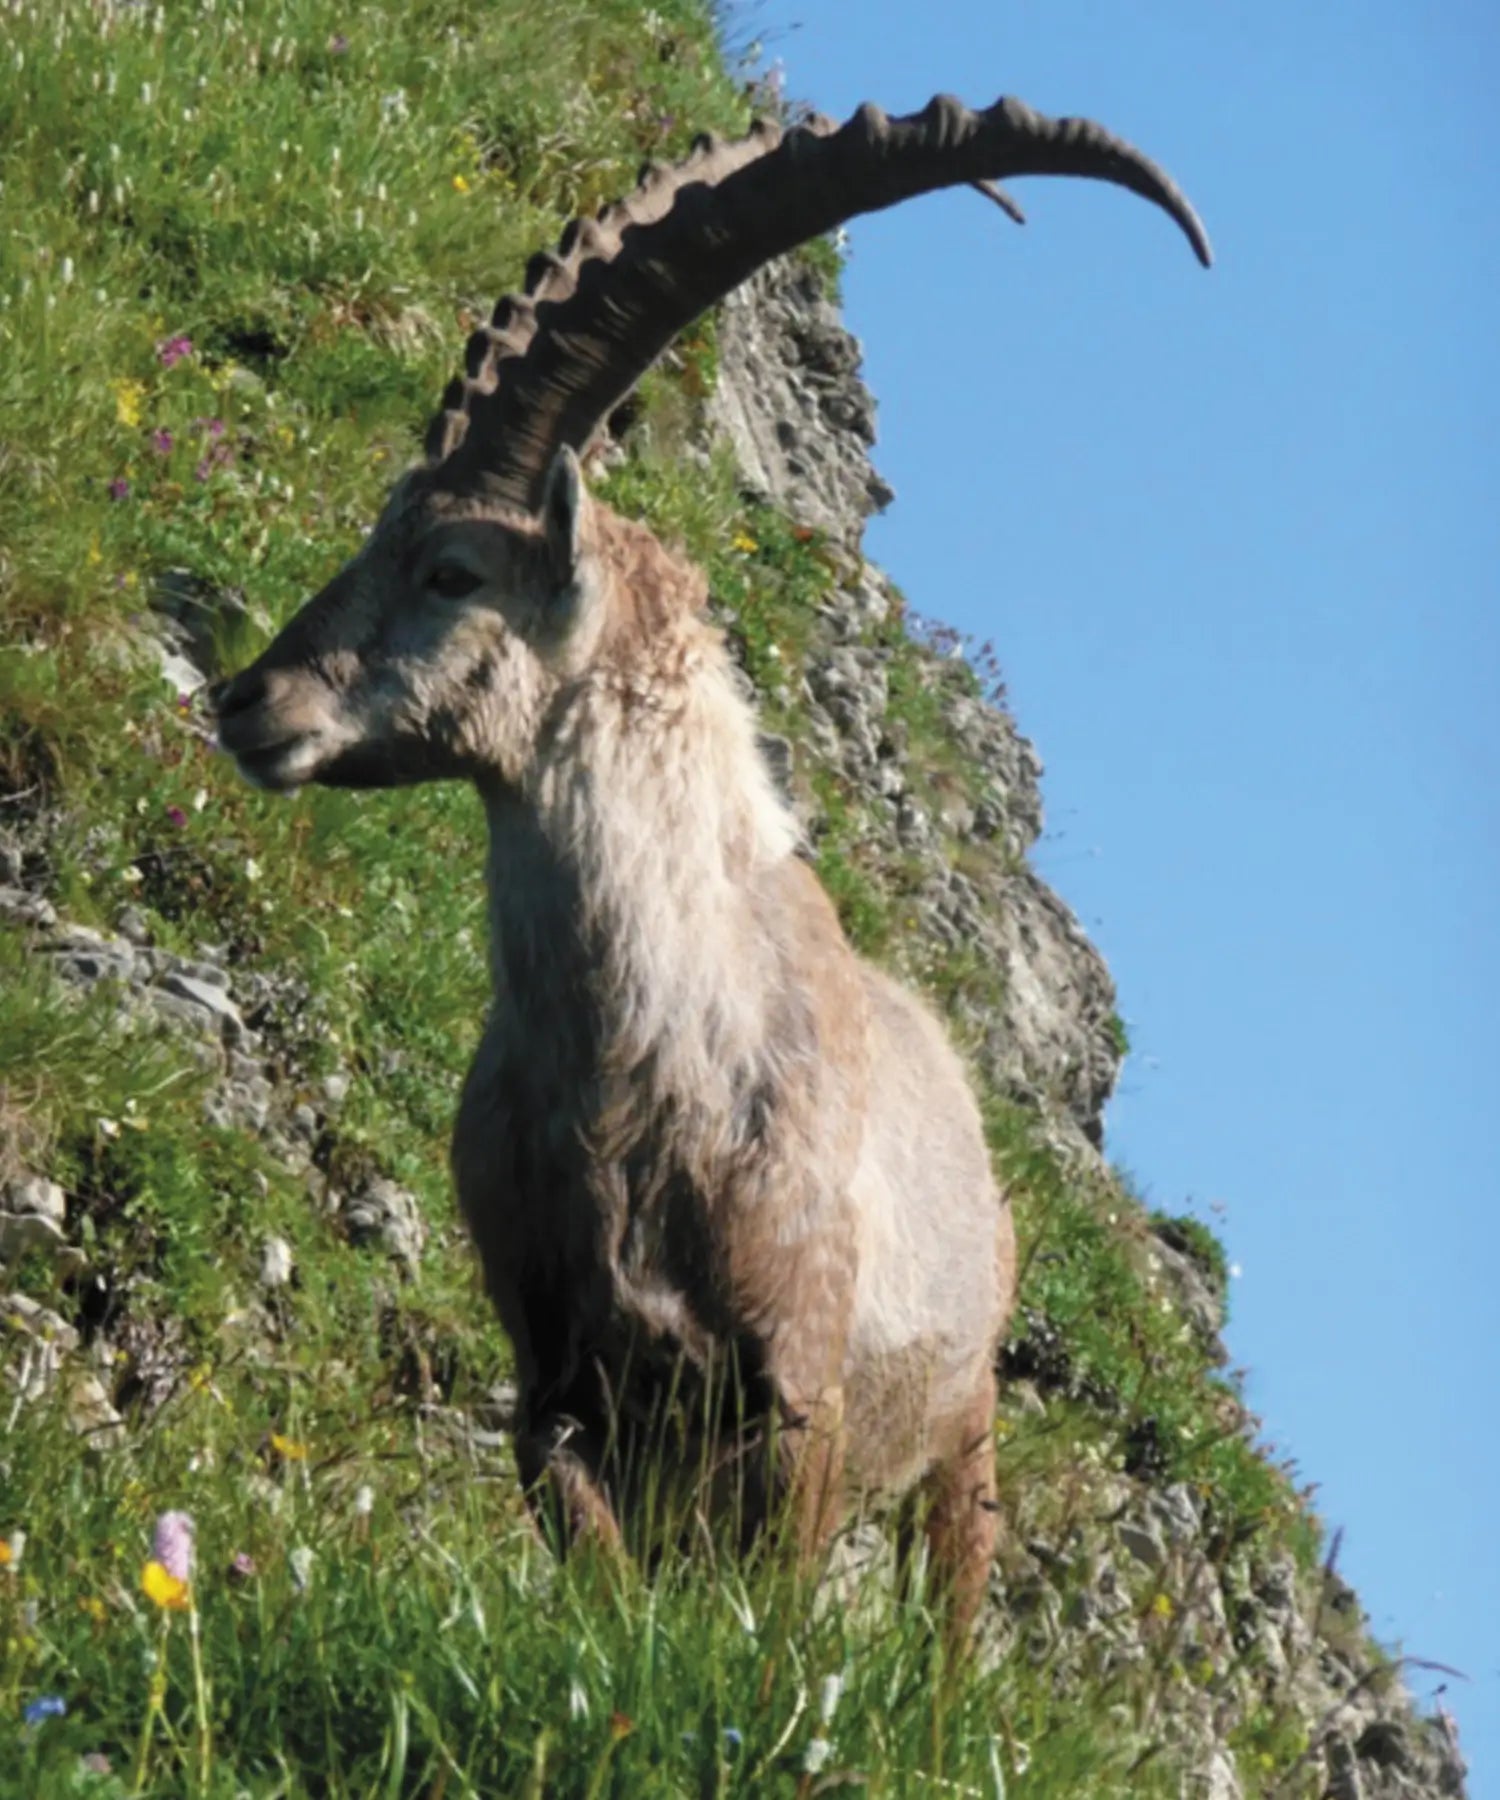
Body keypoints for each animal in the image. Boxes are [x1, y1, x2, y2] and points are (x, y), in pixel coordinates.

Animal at [214, 94, 1209, 1630]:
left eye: (451, 571)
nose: (246, 701)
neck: (644, 1065)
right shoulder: (558, 1387)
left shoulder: (790, 1397)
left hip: (964, 1426)